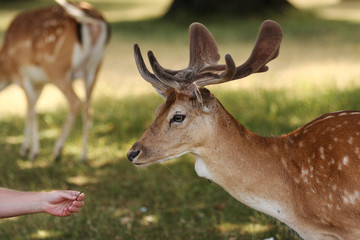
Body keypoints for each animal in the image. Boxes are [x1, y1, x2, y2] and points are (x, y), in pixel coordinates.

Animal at [0, 0, 109, 162]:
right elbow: (30, 108)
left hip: (57, 68)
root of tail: (93, 18)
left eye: (14, 68)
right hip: (94, 69)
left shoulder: (22, 74)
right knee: (89, 108)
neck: (7, 70)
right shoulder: (39, 83)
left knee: (76, 101)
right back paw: (83, 156)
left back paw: (57, 150)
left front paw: (33, 153)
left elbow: (32, 111)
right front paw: (24, 149)